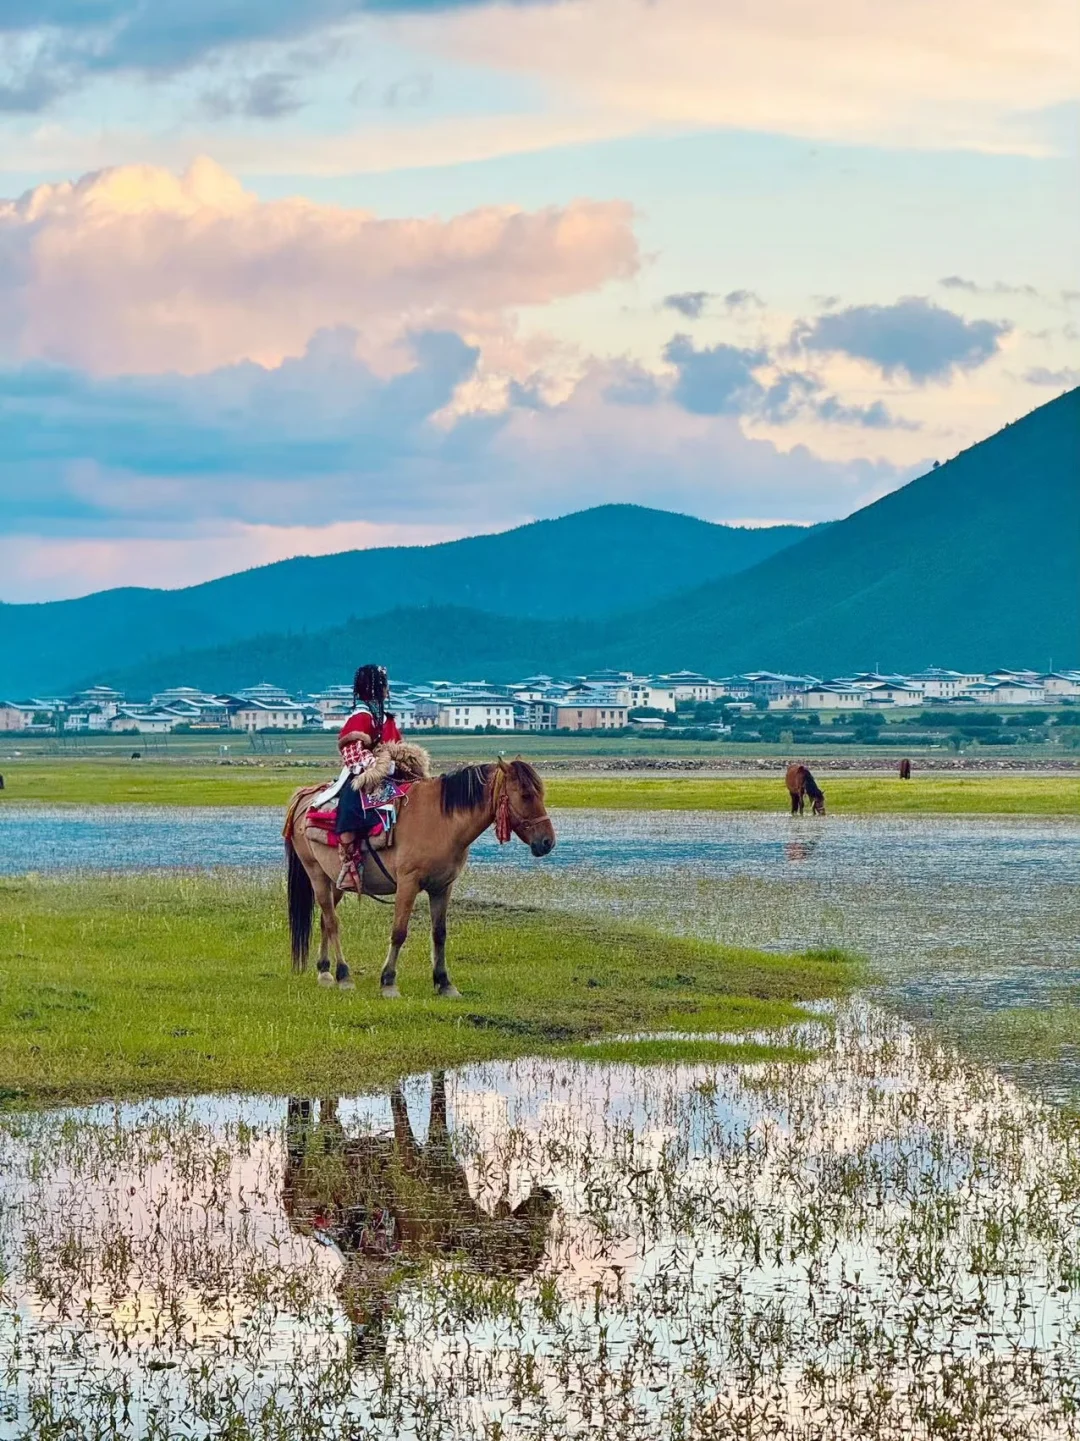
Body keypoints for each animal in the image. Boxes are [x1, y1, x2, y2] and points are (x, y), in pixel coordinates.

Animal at [284, 755, 556, 1002]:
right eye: (526, 795)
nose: (547, 842)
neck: (442, 821)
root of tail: (304, 797)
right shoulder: (408, 883)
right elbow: (399, 931)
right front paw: (388, 982)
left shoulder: (442, 887)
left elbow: (439, 933)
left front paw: (444, 983)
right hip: (316, 874)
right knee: (332, 922)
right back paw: (344, 975)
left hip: (337, 880)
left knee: (324, 919)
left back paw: (325, 971)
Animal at [284, 1083, 556, 1360]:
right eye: (532, 1250)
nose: (549, 1197)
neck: (454, 1233)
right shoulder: (408, 1151)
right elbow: (402, 1103)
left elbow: (436, 1096)